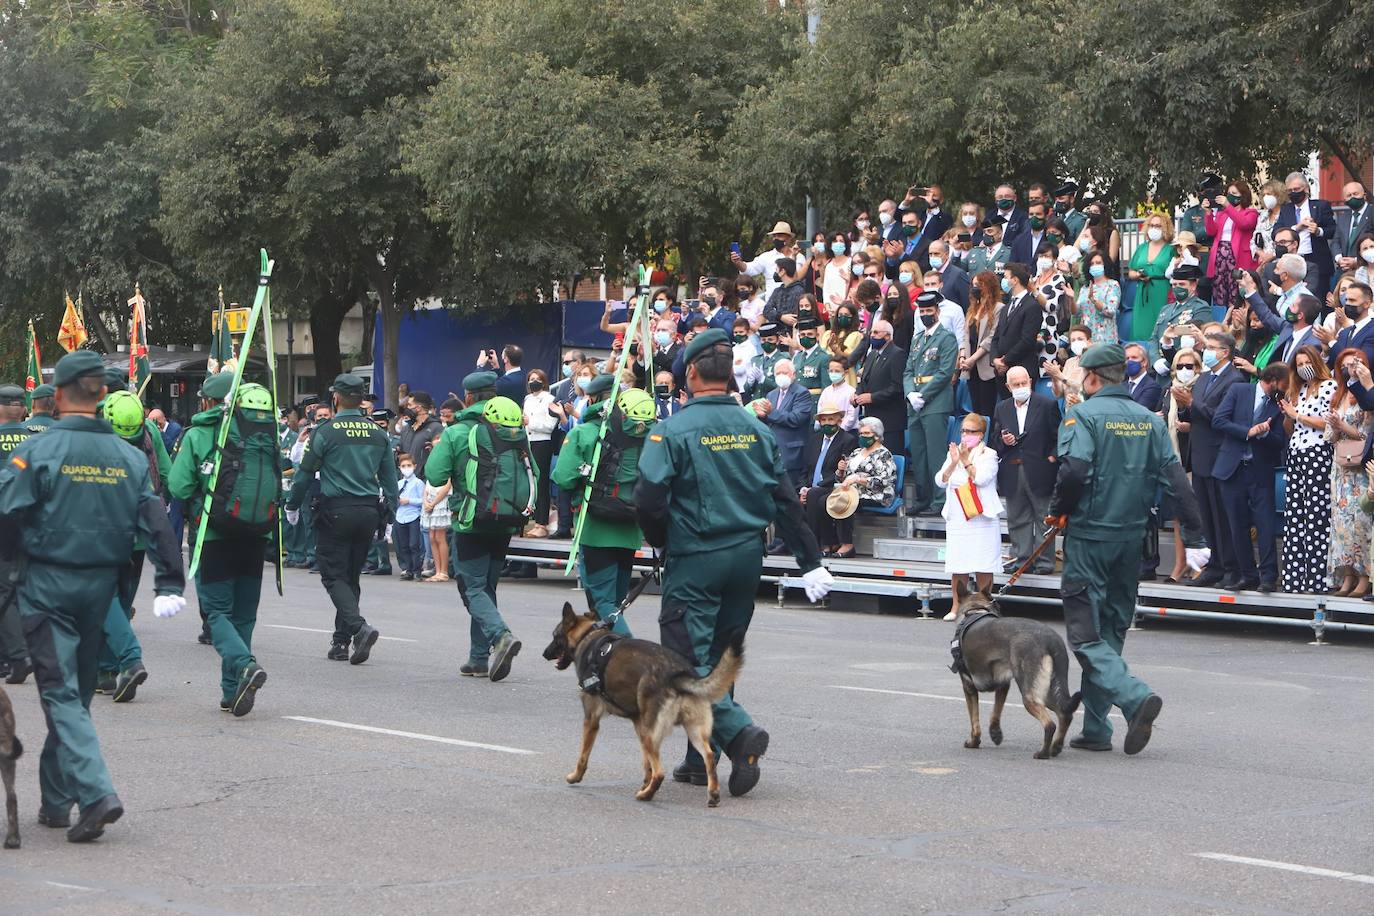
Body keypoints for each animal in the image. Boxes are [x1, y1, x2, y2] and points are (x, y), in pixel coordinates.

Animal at [541, 604, 747, 807]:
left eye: (555, 636)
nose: (544, 654)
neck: (587, 635)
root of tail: (679, 675)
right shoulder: (638, 723)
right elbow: (645, 763)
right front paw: (644, 782)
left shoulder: (591, 720)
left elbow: (583, 756)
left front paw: (575, 777)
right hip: (690, 731)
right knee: (709, 757)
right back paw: (712, 793)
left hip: (651, 735)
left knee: (660, 772)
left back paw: (646, 795)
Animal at [950, 587, 1077, 758]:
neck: (975, 610)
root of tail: (1050, 639)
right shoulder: (1003, 685)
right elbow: (996, 712)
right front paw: (995, 734)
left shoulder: (968, 687)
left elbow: (974, 720)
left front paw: (974, 742)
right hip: (1048, 692)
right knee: (1065, 714)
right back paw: (1055, 747)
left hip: (1030, 696)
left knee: (1050, 725)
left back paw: (1043, 753)